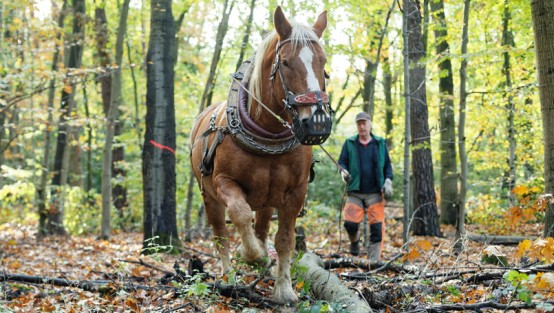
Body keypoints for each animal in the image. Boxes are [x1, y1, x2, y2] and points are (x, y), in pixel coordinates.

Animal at [188, 6, 330, 302]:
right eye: (285, 63)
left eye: (323, 62)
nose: (318, 122)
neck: (269, 135)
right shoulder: (224, 182)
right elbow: (240, 214)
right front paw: (251, 255)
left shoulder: (296, 192)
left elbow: (285, 239)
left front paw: (284, 289)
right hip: (209, 196)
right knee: (221, 235)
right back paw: (229, 276)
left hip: (267, 199)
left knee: (263, 227)